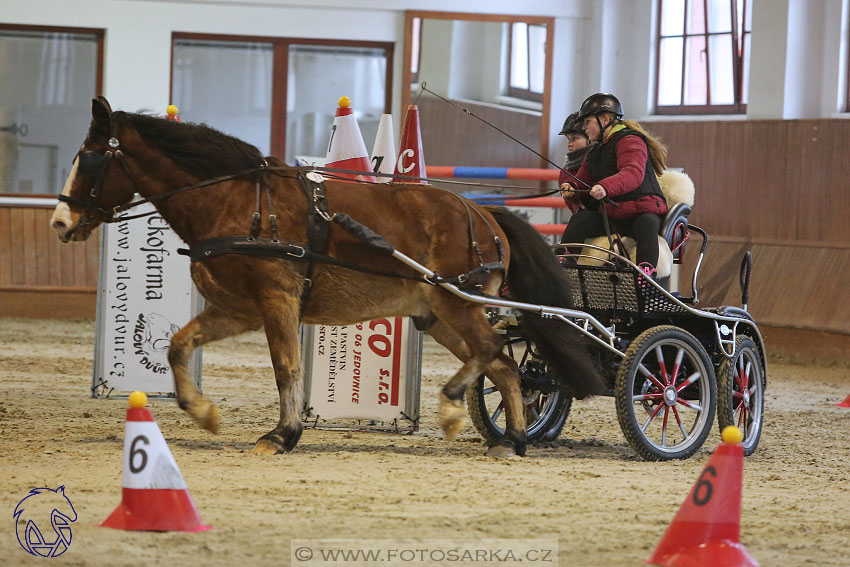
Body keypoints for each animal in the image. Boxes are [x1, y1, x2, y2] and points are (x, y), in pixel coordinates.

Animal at [49, 97, 604, 460]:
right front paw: (203, 413)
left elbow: (285, 369)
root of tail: (484, 214)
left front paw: (283, 434)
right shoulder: (237, 309)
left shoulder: (277, 300)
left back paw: (452, 410)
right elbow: (178, 346)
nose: (58, 222)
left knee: (490, 351)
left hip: (458, 301)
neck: (238, 202)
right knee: (504, 365)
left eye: (91, 158)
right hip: (438, 314)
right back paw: (511, 441)